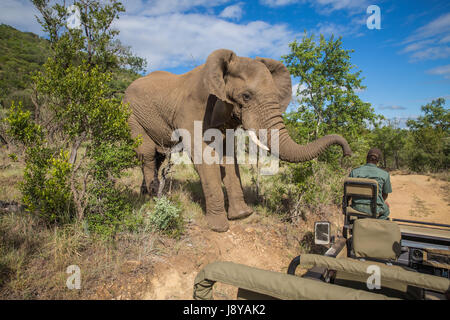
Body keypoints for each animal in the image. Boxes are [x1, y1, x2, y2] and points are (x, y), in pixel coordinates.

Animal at [124, 48, 352, 232]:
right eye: (246, 96)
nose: (347, 153)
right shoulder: (192, 109)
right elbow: (205, 158)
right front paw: (219, 227)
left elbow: (229, 157)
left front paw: (242, 215)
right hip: (131, 116)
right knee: (147, 153)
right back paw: (153, 197)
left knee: (158, 156)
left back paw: (147, 193)